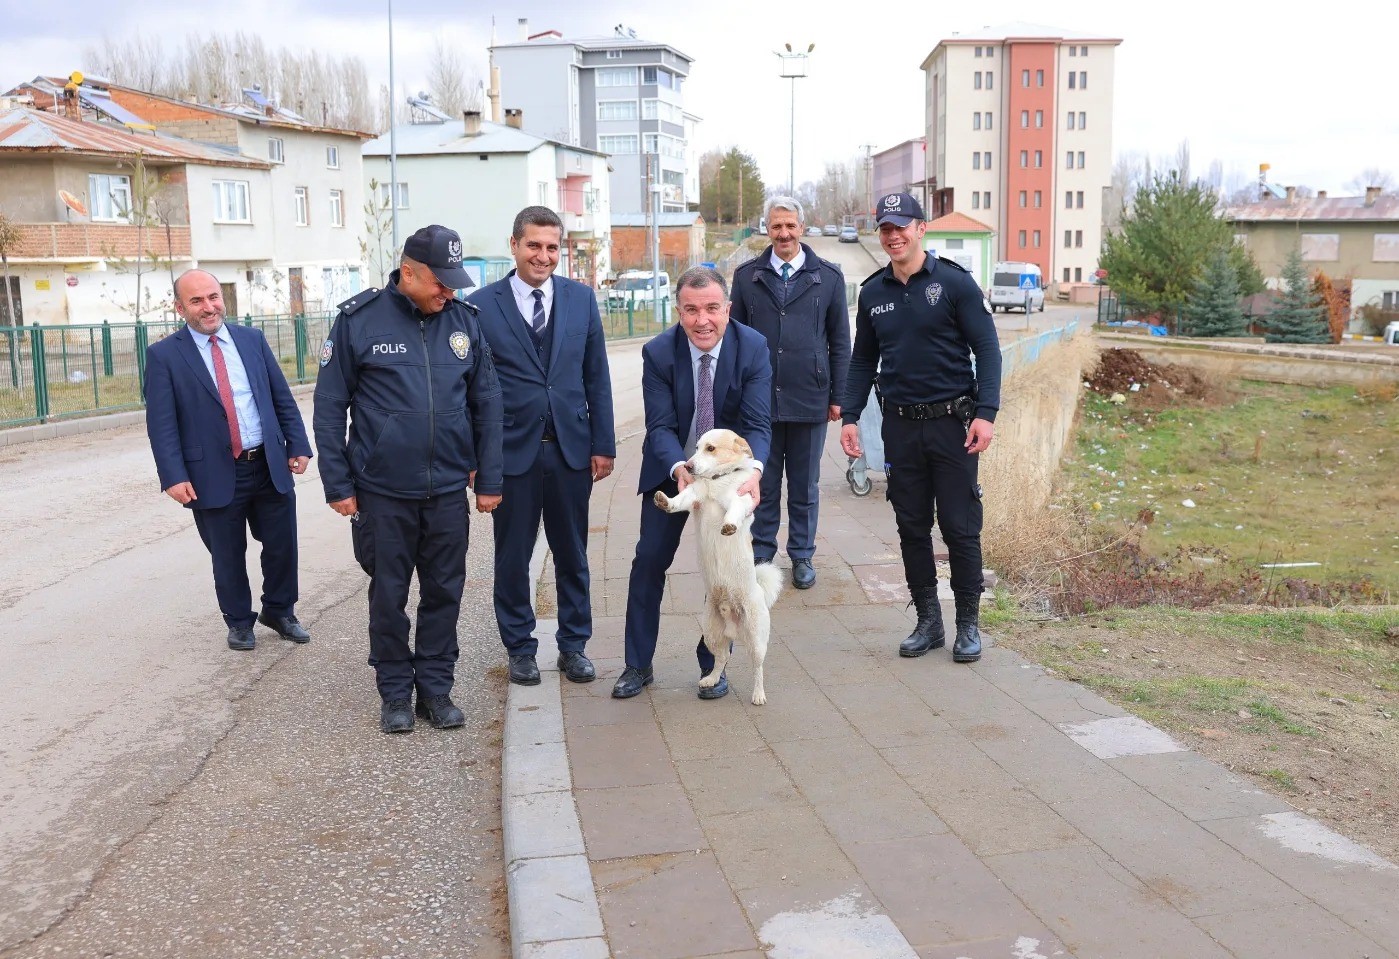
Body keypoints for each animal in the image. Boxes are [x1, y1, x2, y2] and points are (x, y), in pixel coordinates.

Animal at [654, 428, 789, 702]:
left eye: (711, 448)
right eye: (696, 447)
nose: (687, 466)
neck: (716, 481)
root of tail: (733, 622)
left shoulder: (740, 499)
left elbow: (734, 510)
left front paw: (729, 525)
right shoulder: (693, 497)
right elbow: (679, 500)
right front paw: (666, 501)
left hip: (756, 640)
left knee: (758, 667)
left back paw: (758, 694)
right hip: (711, 634)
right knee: (721, 658)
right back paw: (711, 680)